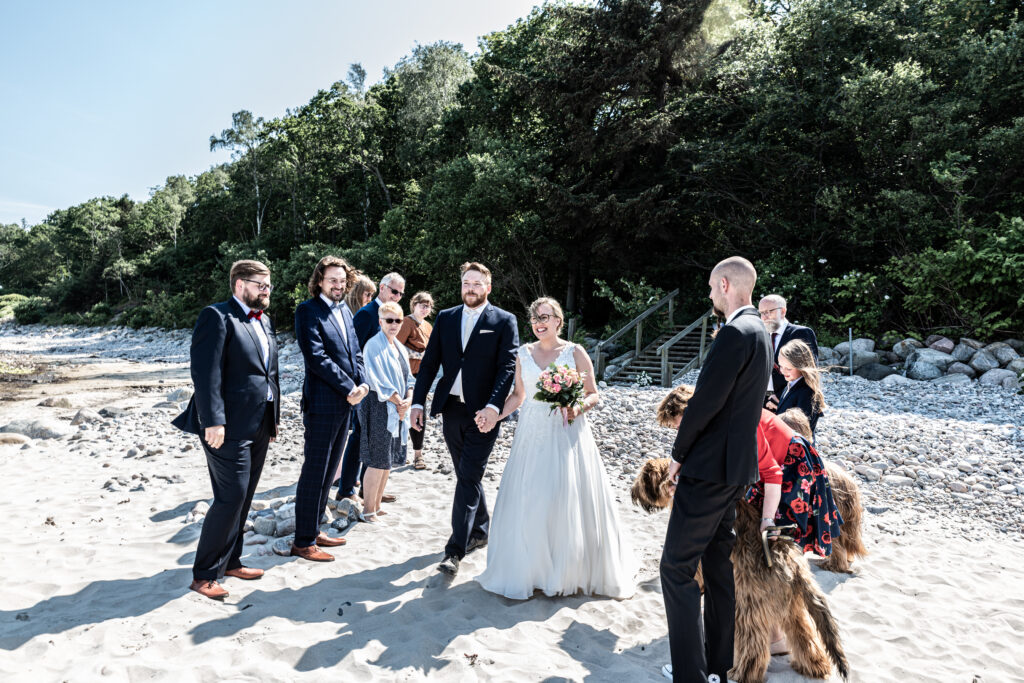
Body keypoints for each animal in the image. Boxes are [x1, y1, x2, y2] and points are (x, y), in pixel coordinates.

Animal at [634, 458, 851, 683]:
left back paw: (741, 672)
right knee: (804, 636)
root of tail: (793, 563)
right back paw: (814, 665)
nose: (633, 494)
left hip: (747, 604)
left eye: (640, 479)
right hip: (790, 606)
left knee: (754, 644)